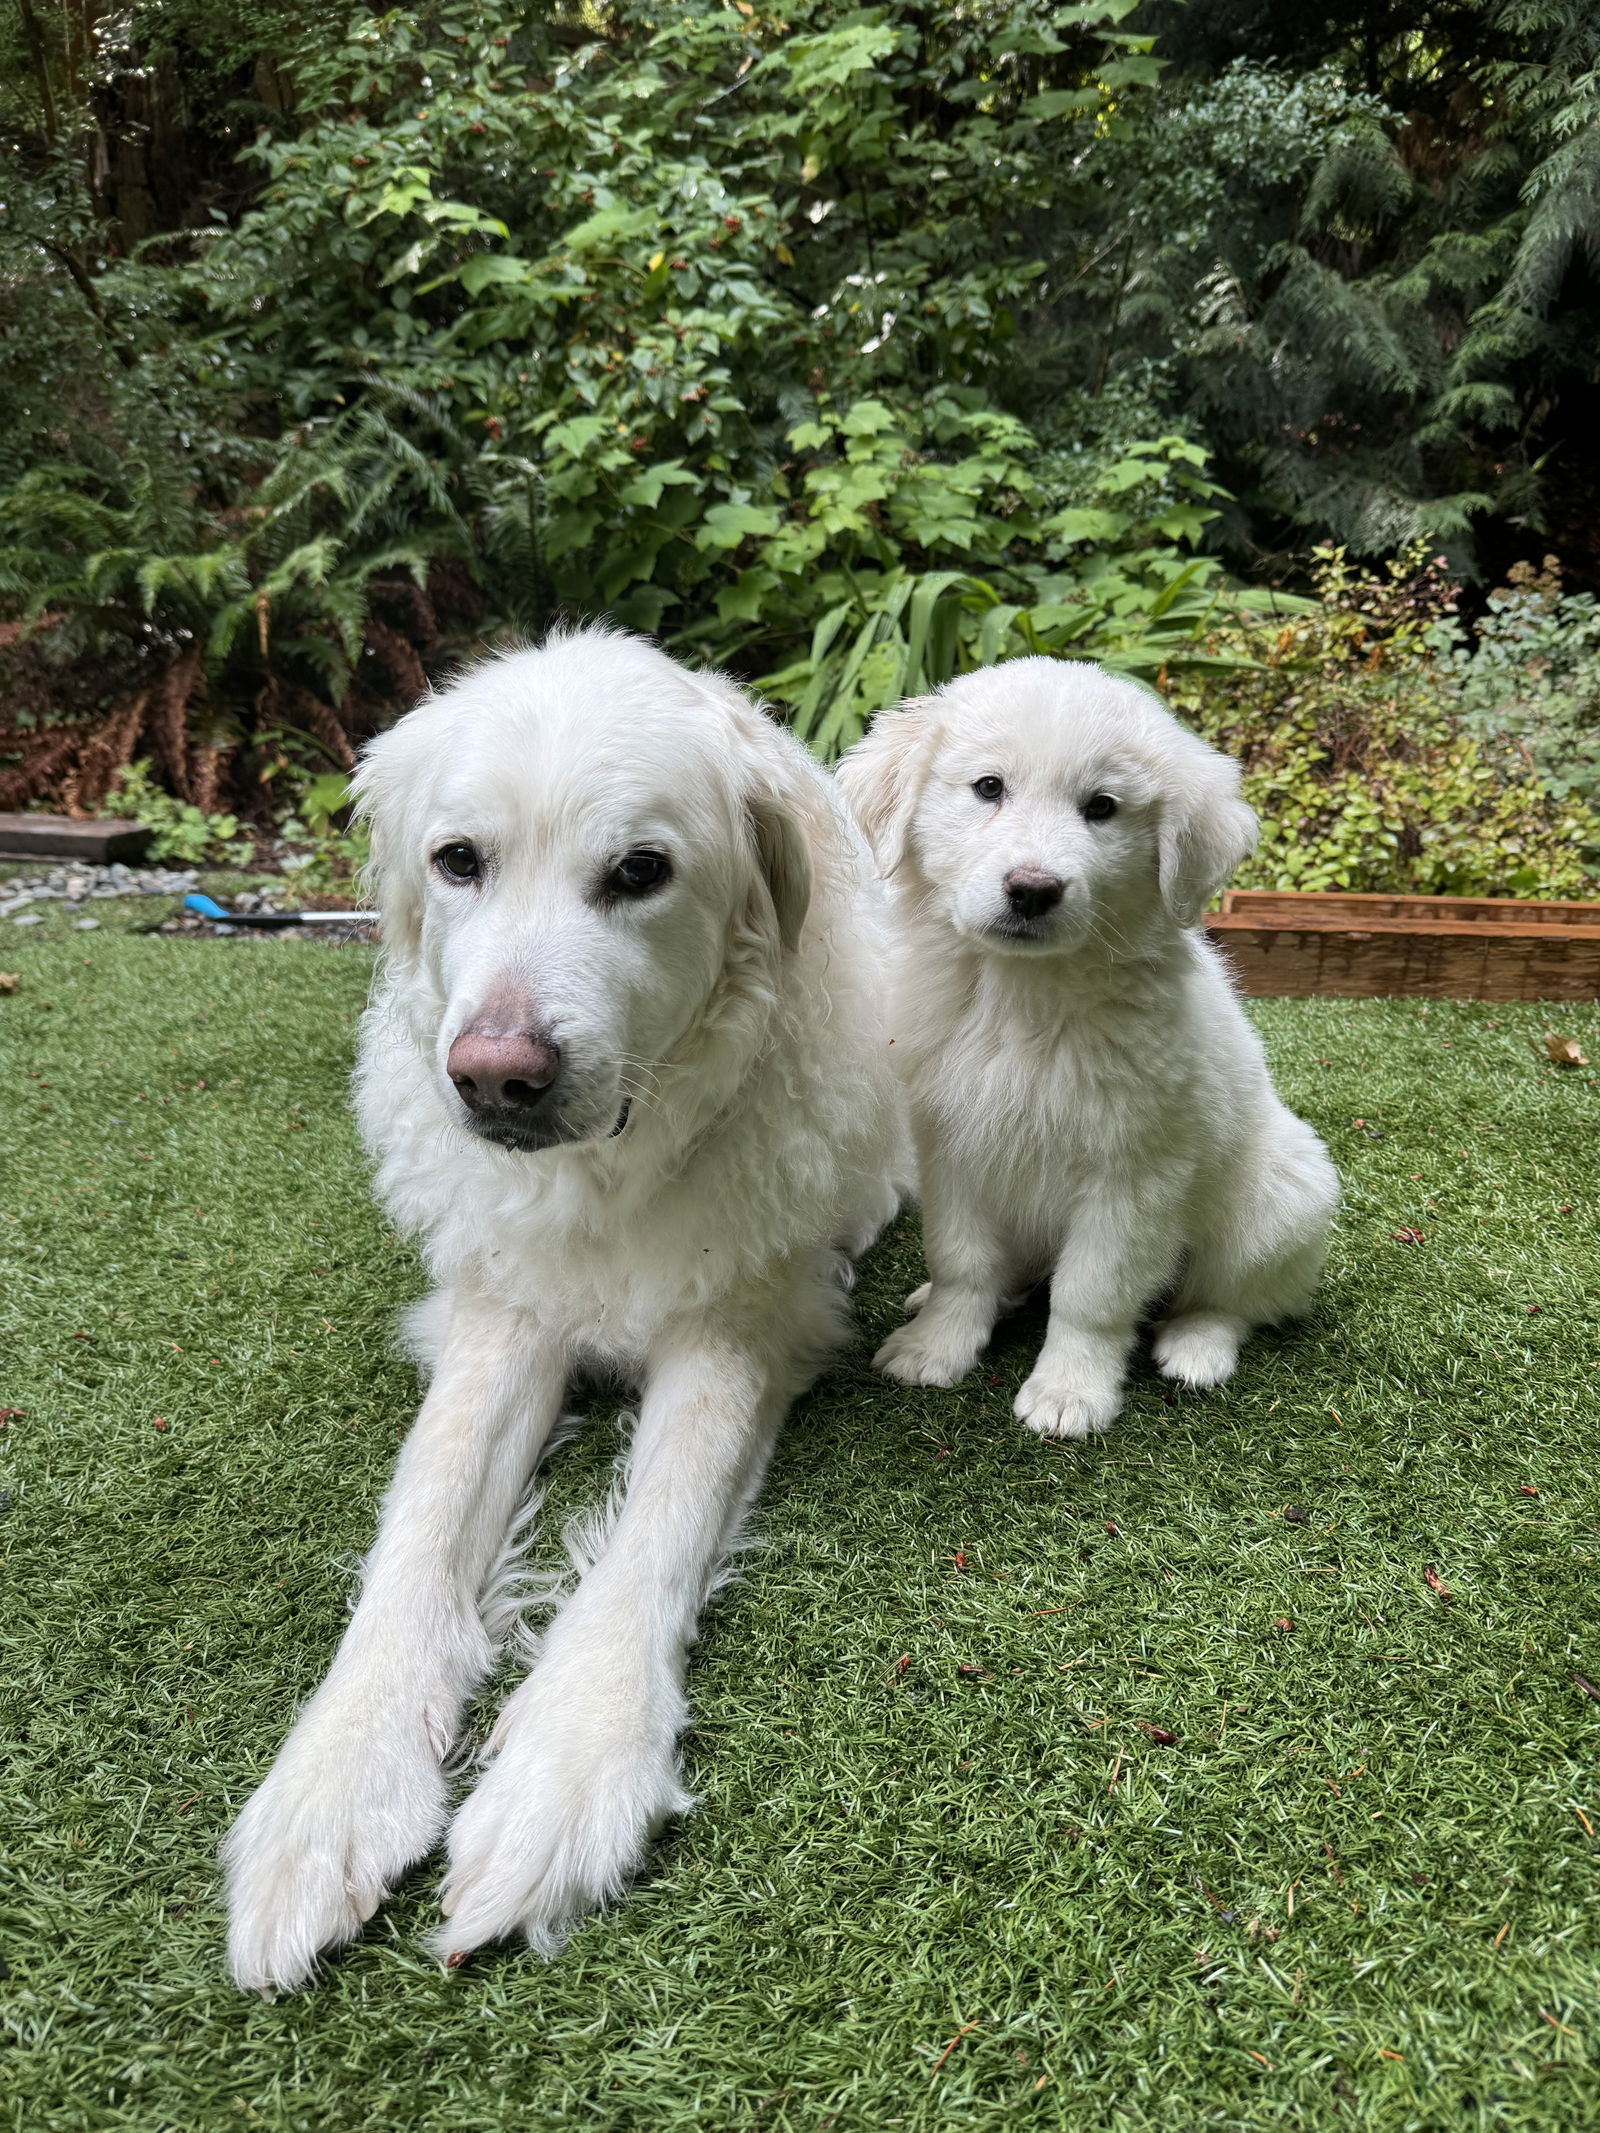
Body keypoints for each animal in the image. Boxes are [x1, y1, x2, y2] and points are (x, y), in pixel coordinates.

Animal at [222, 622, 904, 1987]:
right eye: (459, 861)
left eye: (641, 871)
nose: (496, 1079)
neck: (612, 1168)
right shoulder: (502, 1315)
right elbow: (423, 1522)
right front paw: (329, 1787)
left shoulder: (740, 1326)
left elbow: (659, 1527)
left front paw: (565, 1768)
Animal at [840, 656, 1339, 1441]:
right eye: (989, 788)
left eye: (1101, 807)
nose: (1032, 890)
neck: (1023, 994)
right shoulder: (953, 1147)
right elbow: (961, 1262)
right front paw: (935, 1347)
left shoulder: (1132, 1174)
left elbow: (1090, 1294)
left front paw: (1069, 1393)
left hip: (1282, 1197)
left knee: (1235, 1299)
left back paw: (1197, 1347)